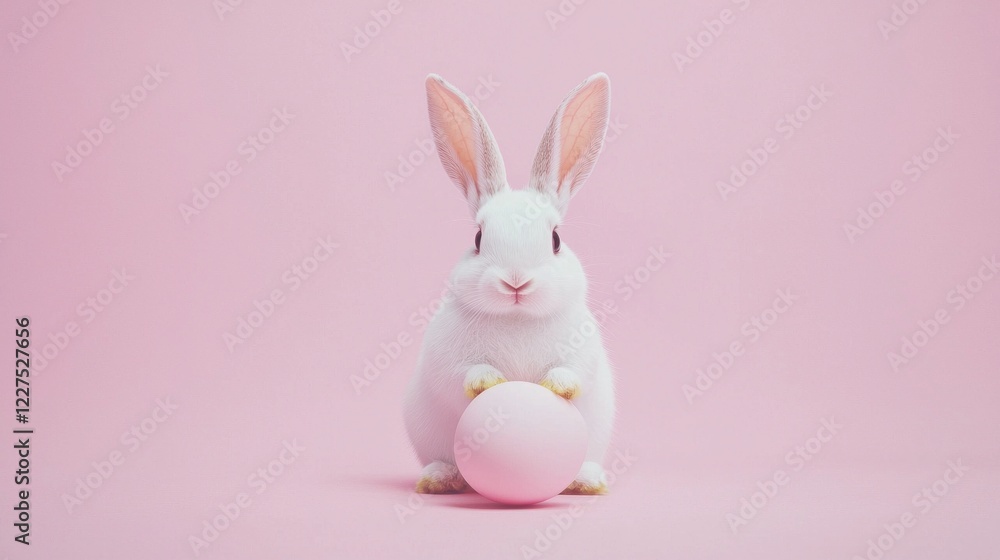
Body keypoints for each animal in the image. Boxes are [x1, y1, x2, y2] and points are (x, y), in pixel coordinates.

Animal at [403, 73, 615, 495]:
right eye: (478, 238)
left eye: (555, 239)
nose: (516, 282)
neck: (517, 319)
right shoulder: (446, 358)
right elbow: (462, 374)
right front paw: (491, 381)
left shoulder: (582, 353)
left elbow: (572, 373)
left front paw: (555, 388)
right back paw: (439, 479)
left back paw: (587, 481)